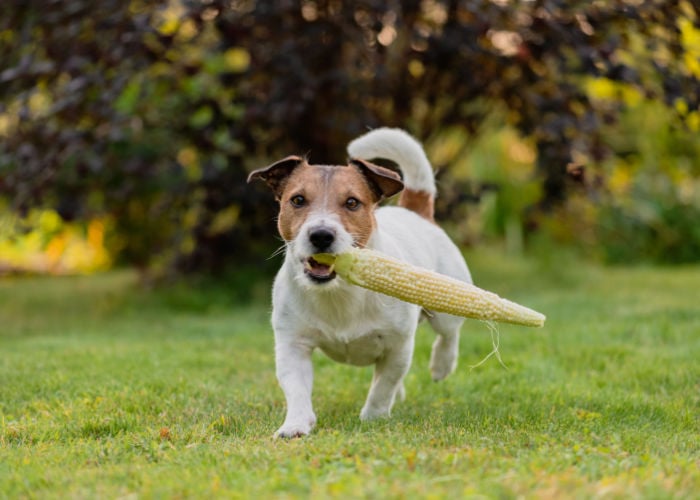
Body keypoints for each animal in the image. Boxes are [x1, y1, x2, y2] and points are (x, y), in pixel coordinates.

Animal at [249, 129, 474, 438]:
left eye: (352, 202)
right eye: (297, 200)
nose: (321, 235)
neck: (340, 292)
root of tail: (416, 212)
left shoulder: (398, 346)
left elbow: (383, 386)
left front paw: (373, 418)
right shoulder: (292, 344)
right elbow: (296, 389)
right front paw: (295, 425)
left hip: (447, 303)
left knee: (449, 334)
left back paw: (442, 364)